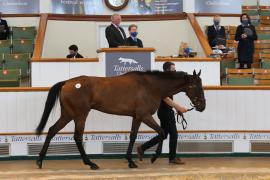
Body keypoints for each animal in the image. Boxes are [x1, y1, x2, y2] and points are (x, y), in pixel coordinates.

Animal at [35, 70, 205, 170]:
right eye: (196, 86)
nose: (202, 106)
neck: (151, 86)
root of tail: (67, 83)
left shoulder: (137, 117)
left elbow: (133, 136)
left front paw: (131, 160)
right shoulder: (144, 115)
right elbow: (161, 132)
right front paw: (153, 157)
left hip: (68, 115)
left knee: (51, 131)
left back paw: (40, 161)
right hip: (80, 115)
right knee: (77, 137)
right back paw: (91, 163)